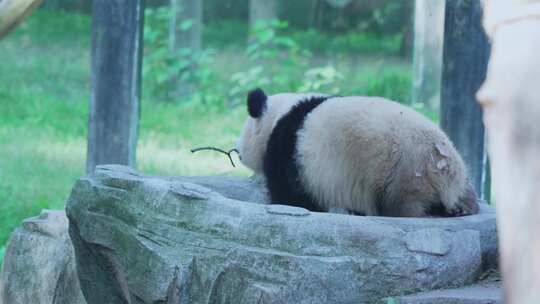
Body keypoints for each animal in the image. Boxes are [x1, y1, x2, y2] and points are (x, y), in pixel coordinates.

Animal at [236, 88, 476, 216]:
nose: (237, 152)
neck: (280, 114)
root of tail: (446, 171)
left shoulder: (290, 153)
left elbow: (292, 195)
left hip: (405, 171)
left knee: (403, 205)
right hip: (455, 177)